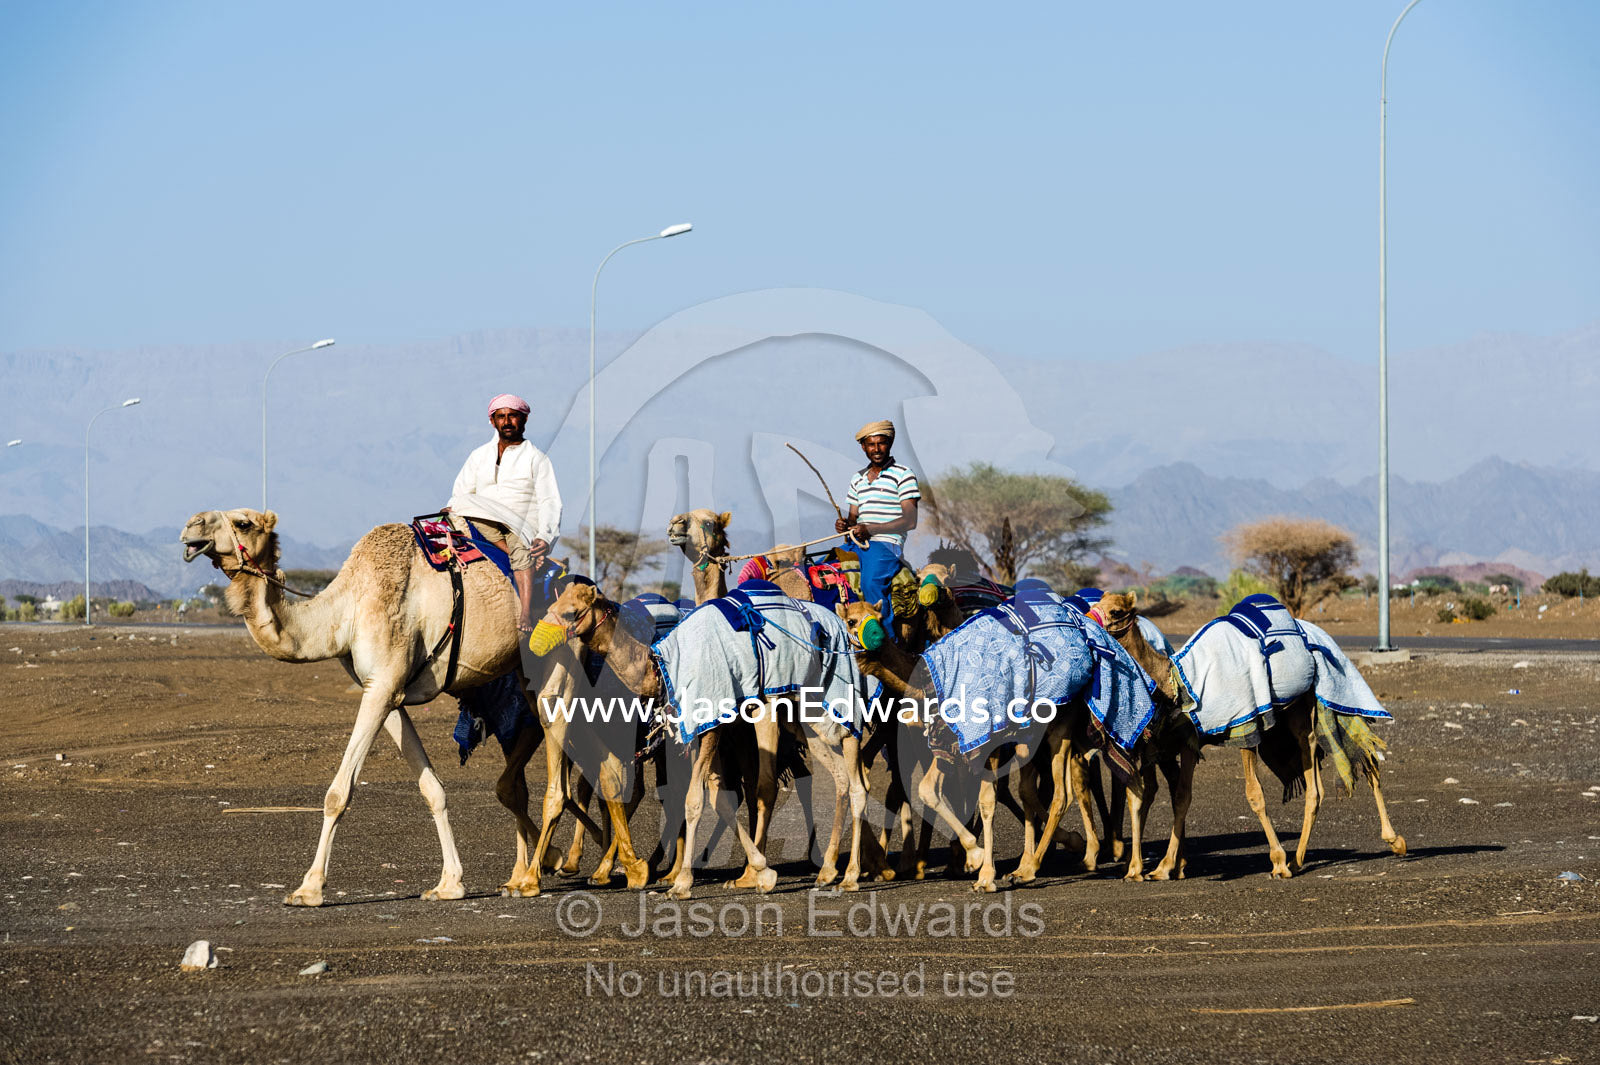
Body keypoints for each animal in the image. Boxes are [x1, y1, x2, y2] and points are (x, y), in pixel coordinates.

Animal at [178, 508, 606, 906]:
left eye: (243, 522)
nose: (190, 526)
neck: (346, 610)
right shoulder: (384, 690)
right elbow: (431, 788)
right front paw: (450, 884)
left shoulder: (383, 685)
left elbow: (338, 793)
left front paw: (309, 888)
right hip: (521, 674)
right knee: (543, 754)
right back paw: (553, 864)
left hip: (559, 661)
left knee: (564, 766)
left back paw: (549, 875)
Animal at [531, 579, 872, 899]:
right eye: (553, 603)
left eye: (572, 611)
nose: (536, 642)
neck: (663, 663)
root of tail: (841, 625)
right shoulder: (696, 729)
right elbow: (717, 798)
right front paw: (760, 872)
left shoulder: (709, 721)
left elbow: (696, 798)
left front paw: (682, 883)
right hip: (805, 714)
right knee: (839, 778)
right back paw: (826, 871)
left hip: (829, 700)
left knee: (853, 782)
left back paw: (852, 875)